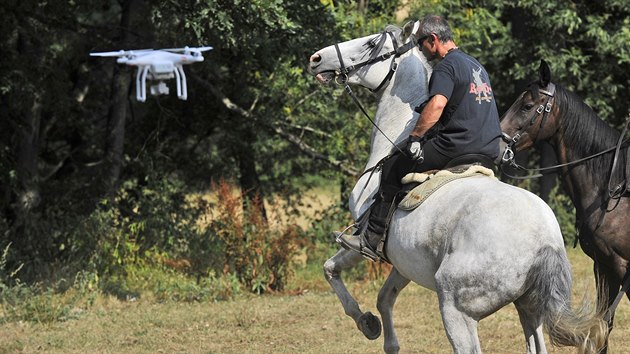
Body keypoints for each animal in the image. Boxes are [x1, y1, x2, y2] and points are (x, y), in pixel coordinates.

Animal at [308, 22, 608, 354]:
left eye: (371, 44)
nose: (317, 58)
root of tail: (546, 243)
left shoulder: (365, 245)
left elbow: (330, 269)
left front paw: (365, 323)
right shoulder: (403, 260)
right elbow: (384, 298)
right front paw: (385, 337)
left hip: (456, 308)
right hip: (529, 309)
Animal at [504, 60, 630, 352]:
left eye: (527, 106)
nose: (500, 139)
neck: (613, 189)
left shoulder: (622, 266)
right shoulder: (604, 266)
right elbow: (603, 326)